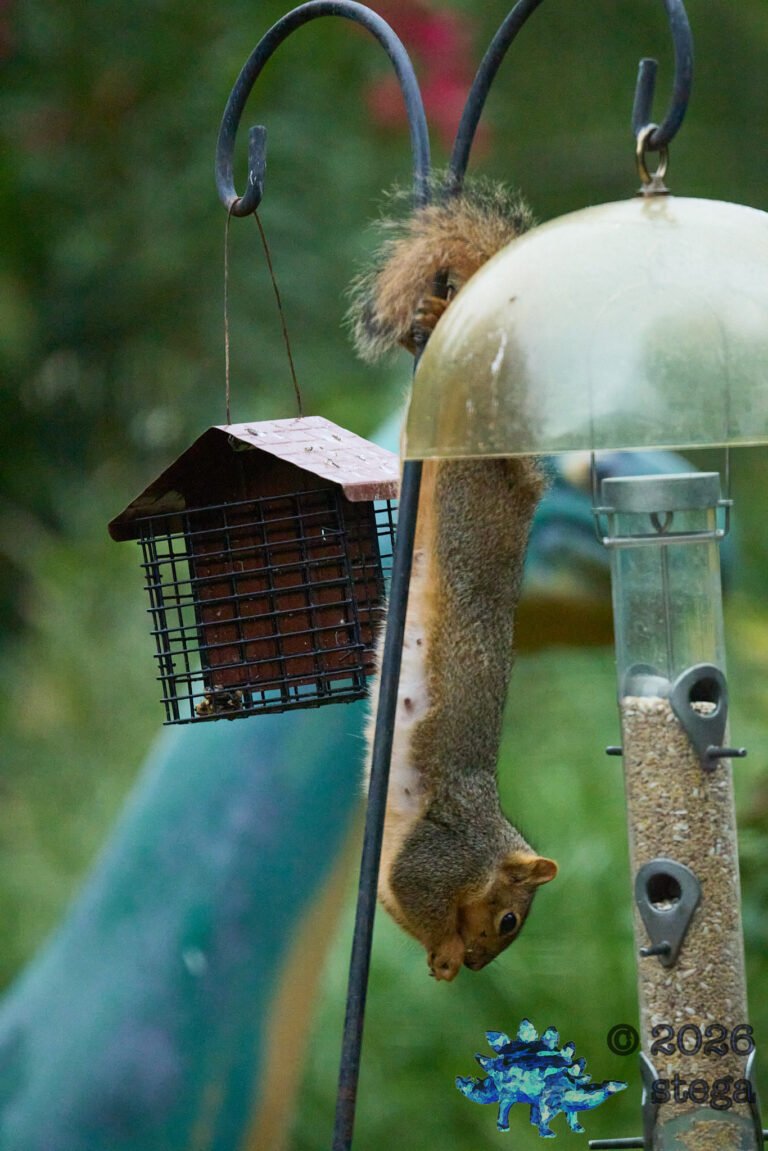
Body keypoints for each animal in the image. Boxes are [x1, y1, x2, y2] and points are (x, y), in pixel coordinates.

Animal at [349, 176, 558, 982]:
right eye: (508, 920)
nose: (474, 966)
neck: (489, 836)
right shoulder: (438, 852)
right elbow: (417, 892)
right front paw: (441, 952)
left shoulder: (401, 865)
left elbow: (393, 901)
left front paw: (437, 959)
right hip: (472, 474)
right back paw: (440, 315)